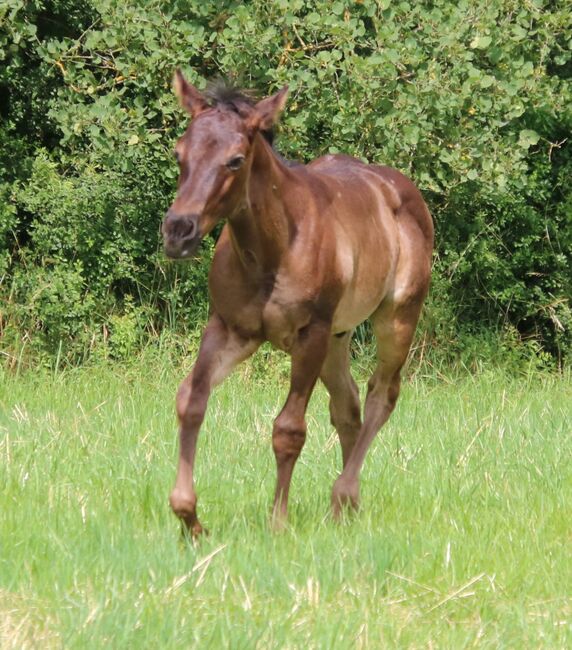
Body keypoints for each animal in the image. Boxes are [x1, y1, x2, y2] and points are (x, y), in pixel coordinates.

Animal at [161, 71, 434, 536]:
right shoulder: (229, 328)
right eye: (179, 152)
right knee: (347, 406)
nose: (179, 230)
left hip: (396, 317)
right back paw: (346, 511)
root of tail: (403, 189)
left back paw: (344, 494)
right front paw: (189, 516)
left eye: (236, 160)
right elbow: (190, 400)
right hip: (339, 336)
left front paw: (278, 521)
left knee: (382, 394)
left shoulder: (311, 333)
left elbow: (289, 429)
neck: (272, 248)